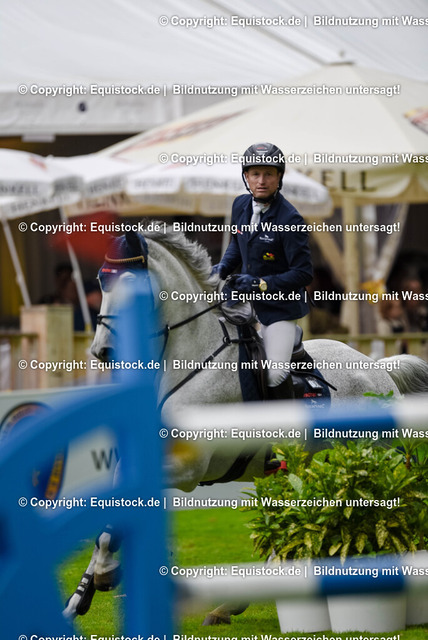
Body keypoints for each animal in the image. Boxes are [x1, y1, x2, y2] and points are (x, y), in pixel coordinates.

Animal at [64, 227, 428, 625]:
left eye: (131, 286)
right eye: (102, 280)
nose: (102, 351)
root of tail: (379, 369)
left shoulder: (188, 468)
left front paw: (104, 573)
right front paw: (80, 597)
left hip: (369, 464)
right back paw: (229, 606)